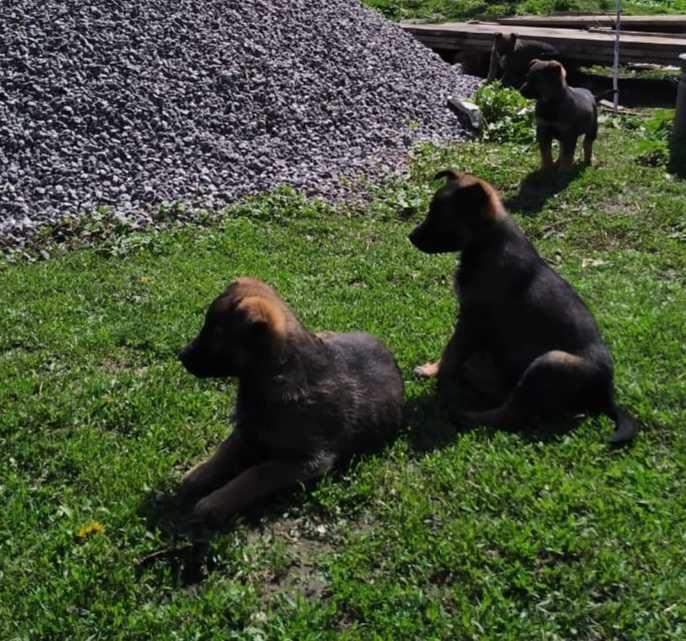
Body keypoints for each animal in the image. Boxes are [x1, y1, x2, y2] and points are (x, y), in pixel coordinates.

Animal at [176, 278, 408, 524]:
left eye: (217, 334)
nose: (182, 355)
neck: (277, 371)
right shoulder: (247, 428)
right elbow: (225, 449)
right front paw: (199, 471)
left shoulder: (309, 461)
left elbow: (257, 473)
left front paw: (215, 502)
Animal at [408, 169, 640, 444]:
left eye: (442, 217)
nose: (411, 237)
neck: (488, 241)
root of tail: (606, 395)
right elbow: (452, 351)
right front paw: (432, 369)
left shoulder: (472, 320)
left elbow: (452, 351)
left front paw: (437, 375)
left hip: (549, 363)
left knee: (513, 413)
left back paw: (465, 416)